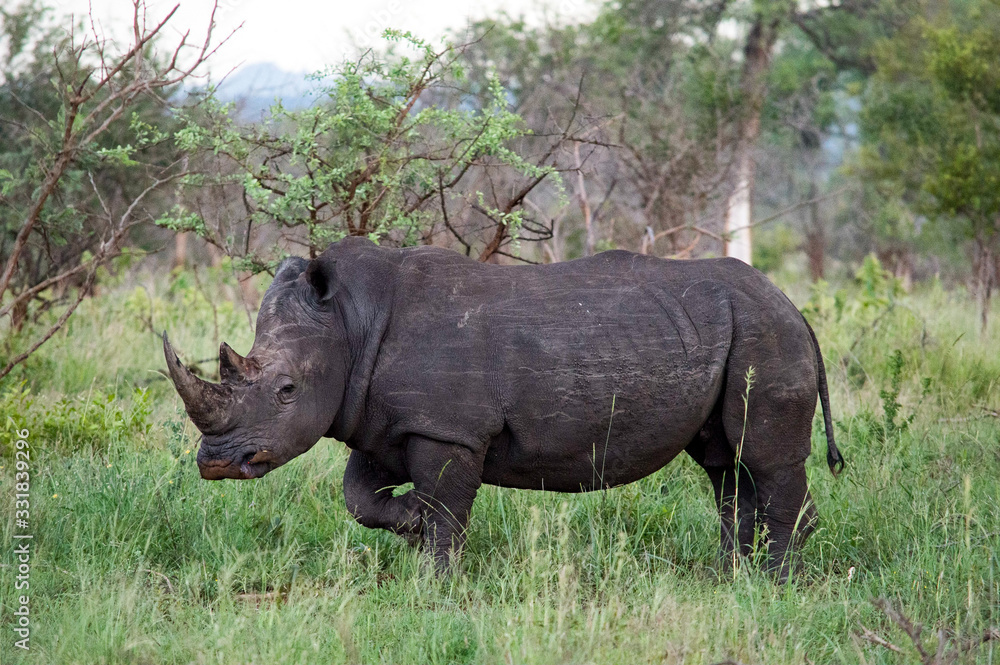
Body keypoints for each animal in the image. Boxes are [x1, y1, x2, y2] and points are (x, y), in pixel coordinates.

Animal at [165, 237, 843, 579]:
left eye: (285, 391)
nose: (217, 463)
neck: (350, 324)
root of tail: (795, 305)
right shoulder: (384, 421)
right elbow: (360, 498)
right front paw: (408, 520)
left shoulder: (448, 430)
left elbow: (446, 508)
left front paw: (433, 582)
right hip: (734, 331)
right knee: (726, 464)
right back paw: (732, 578)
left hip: (764, 334)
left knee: (762, 458)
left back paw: (774, 584)